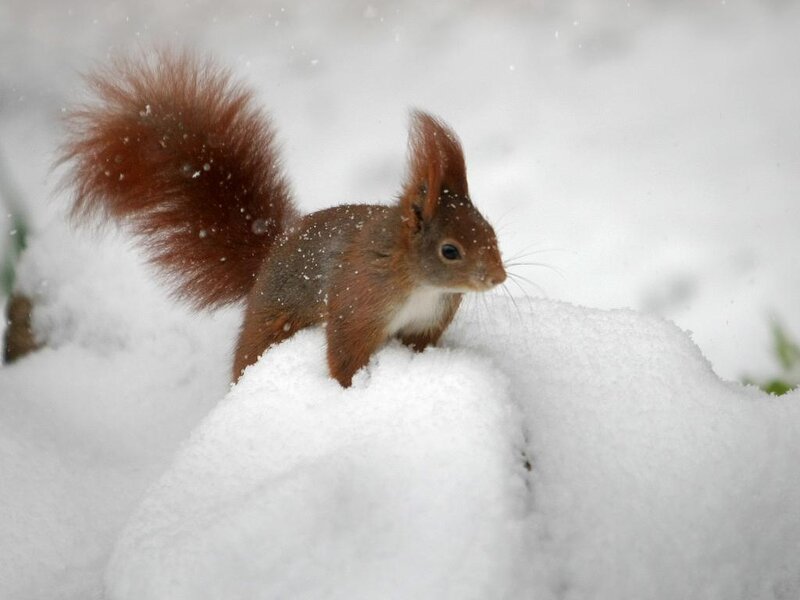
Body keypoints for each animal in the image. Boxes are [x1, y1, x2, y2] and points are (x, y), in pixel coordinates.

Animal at [60, 50, 506, 387]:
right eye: (450, 250)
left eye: (491, 231)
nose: (499, 277)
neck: (418, 280)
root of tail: (270, 255)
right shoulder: (359, 302)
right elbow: (344, 355)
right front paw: (349, 391)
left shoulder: (426, 323)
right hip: (269, 326)